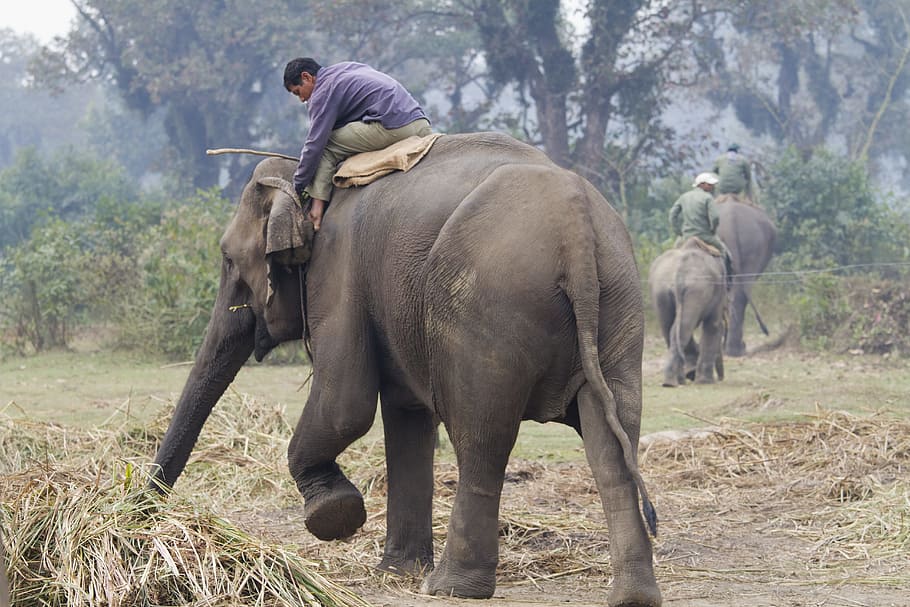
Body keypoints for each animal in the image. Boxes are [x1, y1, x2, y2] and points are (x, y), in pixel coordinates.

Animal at [149, 132, 661, 606]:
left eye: (227, 259)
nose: (145, 510)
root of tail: (576, 233)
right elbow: (405, 414)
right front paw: (395, 571)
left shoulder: (338, 273)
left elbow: (345, 405)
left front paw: (335, 514)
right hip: (618, 300)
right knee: (613, 442)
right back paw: (633, 596)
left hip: (489, 308)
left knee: (481, 439)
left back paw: (450, 588)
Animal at [650, 240, 727, 387]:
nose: (721, 379)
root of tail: (679, 270)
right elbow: (713, 325)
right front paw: (705, 382)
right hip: (697, 289)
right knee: (684, 328)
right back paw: (673, 382)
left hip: (660, 291)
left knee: (670, 329)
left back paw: (673, 382)